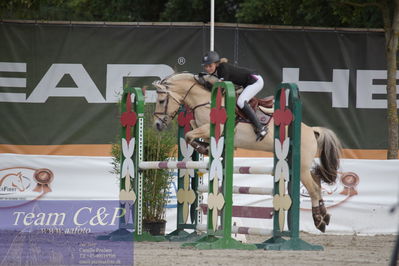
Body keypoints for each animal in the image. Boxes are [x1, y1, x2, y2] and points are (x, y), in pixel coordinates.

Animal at [152, 71, 342, 232]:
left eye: (161, 101)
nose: (157, 125)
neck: (204, 99)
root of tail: (312, 130)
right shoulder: (201, 127)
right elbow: (191, 130)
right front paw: (204, 147)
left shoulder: (212, 128)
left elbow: (190, 135)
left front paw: (203, 148)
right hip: (296, 164)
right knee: (316, 180)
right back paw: (324, 216)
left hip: (301, 167)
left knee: (314, 189)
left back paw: (319, 221)